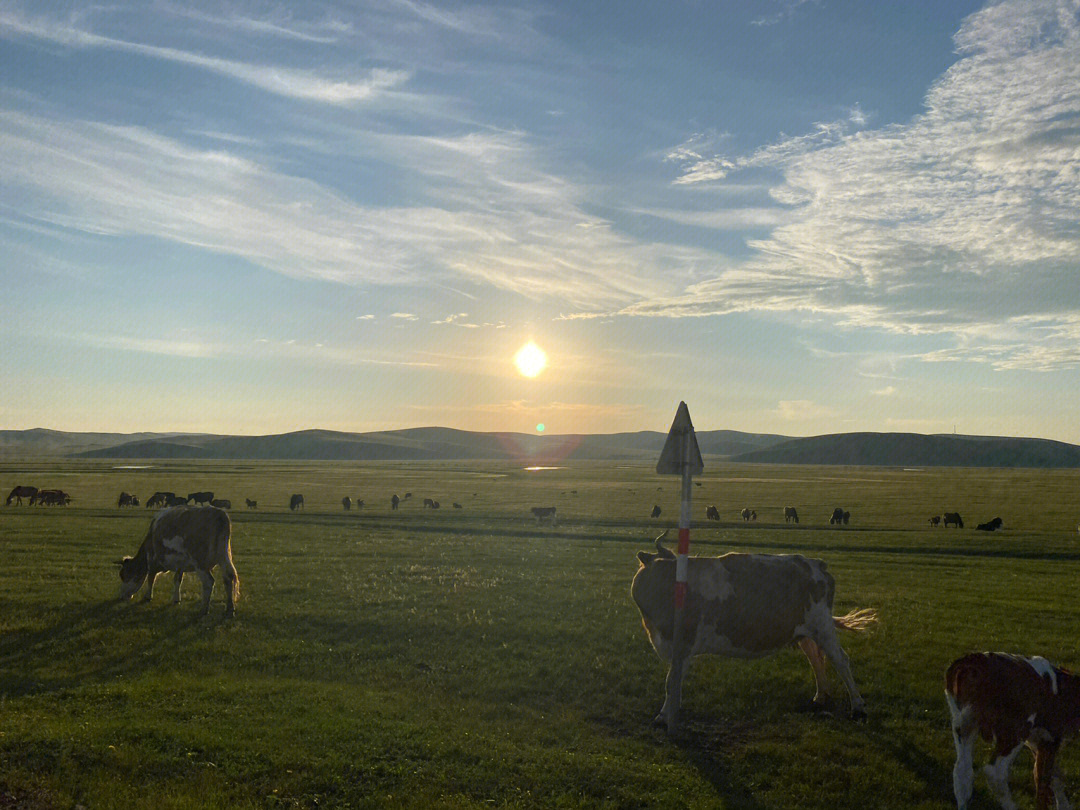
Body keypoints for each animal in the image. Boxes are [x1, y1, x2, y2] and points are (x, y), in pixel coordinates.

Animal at [630, 533, 872, 734]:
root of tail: (815, 563)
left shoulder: (683, 645)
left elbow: (671, 682)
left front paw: (664, 717)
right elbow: (674, 682)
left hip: (823, 626)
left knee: (841, 660)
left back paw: (858, 707)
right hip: (806, 632)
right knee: (816, 659)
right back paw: (820, 697)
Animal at [946, 652, 1080, 810]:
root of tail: (974, 660)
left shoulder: (1039, 741)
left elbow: (1053, 776)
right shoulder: (1050, 738)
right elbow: (1044, 779)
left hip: (963, 724)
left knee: (962, 771)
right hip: (1015, 731)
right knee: (995, 772)